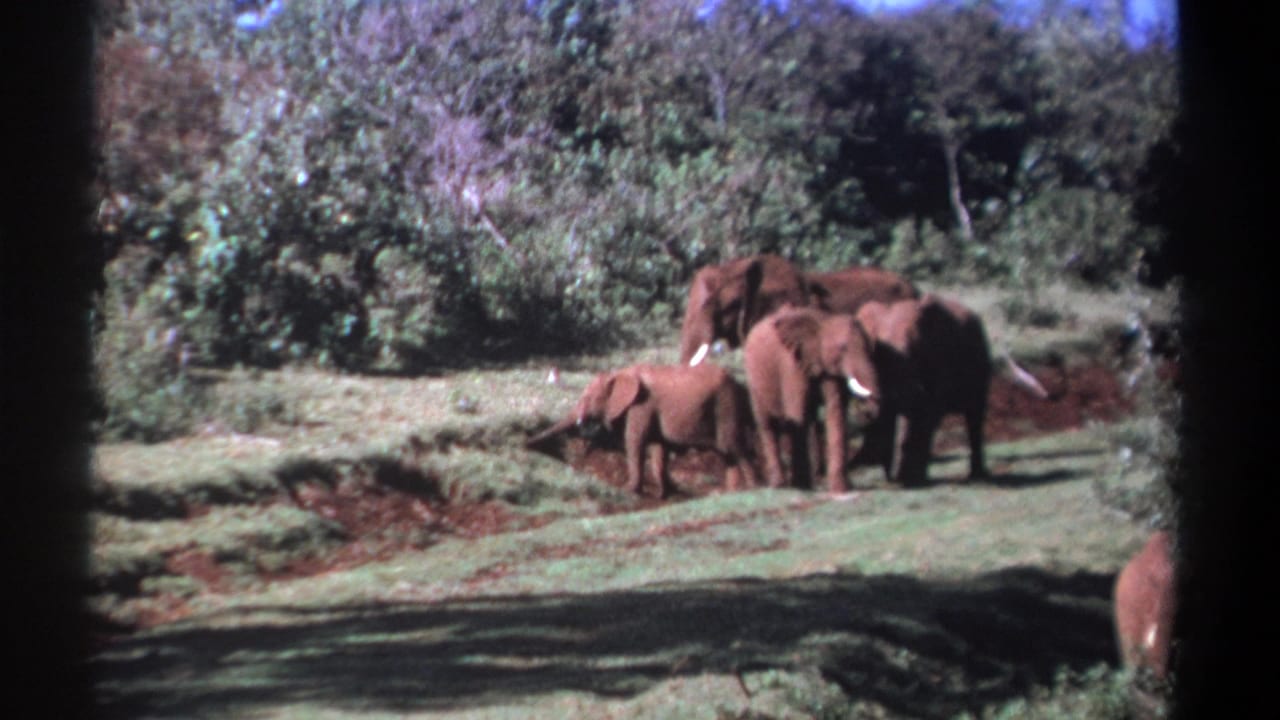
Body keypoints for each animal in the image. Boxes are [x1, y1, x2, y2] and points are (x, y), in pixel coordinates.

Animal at [526, 363, 758, 498]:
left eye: (589, 398)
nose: (525, 444)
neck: (619, 374)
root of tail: (740, 385)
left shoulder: (641, 406)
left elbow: (635, 442)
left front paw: (629, 490)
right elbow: (658, 448)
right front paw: (666, 494)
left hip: (726, 405)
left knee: (734, 447)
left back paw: (753, 488)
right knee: (727, 453)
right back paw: (731, 492)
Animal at [743, 306, 880, 493]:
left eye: (869, 348)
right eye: (842, 348)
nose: (868, 412)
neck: (823, 323)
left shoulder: (829, 367)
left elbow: (836, 412)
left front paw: (841, 489)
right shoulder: (791, 365)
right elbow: (798, 414)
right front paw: (802, 486)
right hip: (754, 381)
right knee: (768, 425)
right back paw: (780, 485)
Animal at [850, 294, 1049, 487]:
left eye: (915, 347)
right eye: (877, 352)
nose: (894, 479)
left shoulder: (940, 358)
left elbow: (929, 410)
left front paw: (914, 479)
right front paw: (897, 479)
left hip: (980, 365)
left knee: (974, 416)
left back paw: (976, 476)